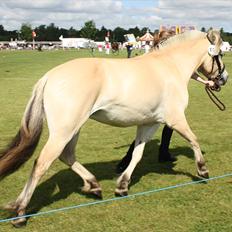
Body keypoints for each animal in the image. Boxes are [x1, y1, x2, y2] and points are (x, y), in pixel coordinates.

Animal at [0, 29, 228, 226]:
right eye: (220, 54)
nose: (223, 79)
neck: (169, 67)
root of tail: (48, 77)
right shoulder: (175, 119)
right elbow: (193, 140)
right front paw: (203, 170)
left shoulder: (149, 123)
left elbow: (136, 154)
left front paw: (122, 186)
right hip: (64, 130)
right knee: (42, 163)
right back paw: (20, 212)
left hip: (74, 128)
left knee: (67, 156)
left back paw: (93, 186)